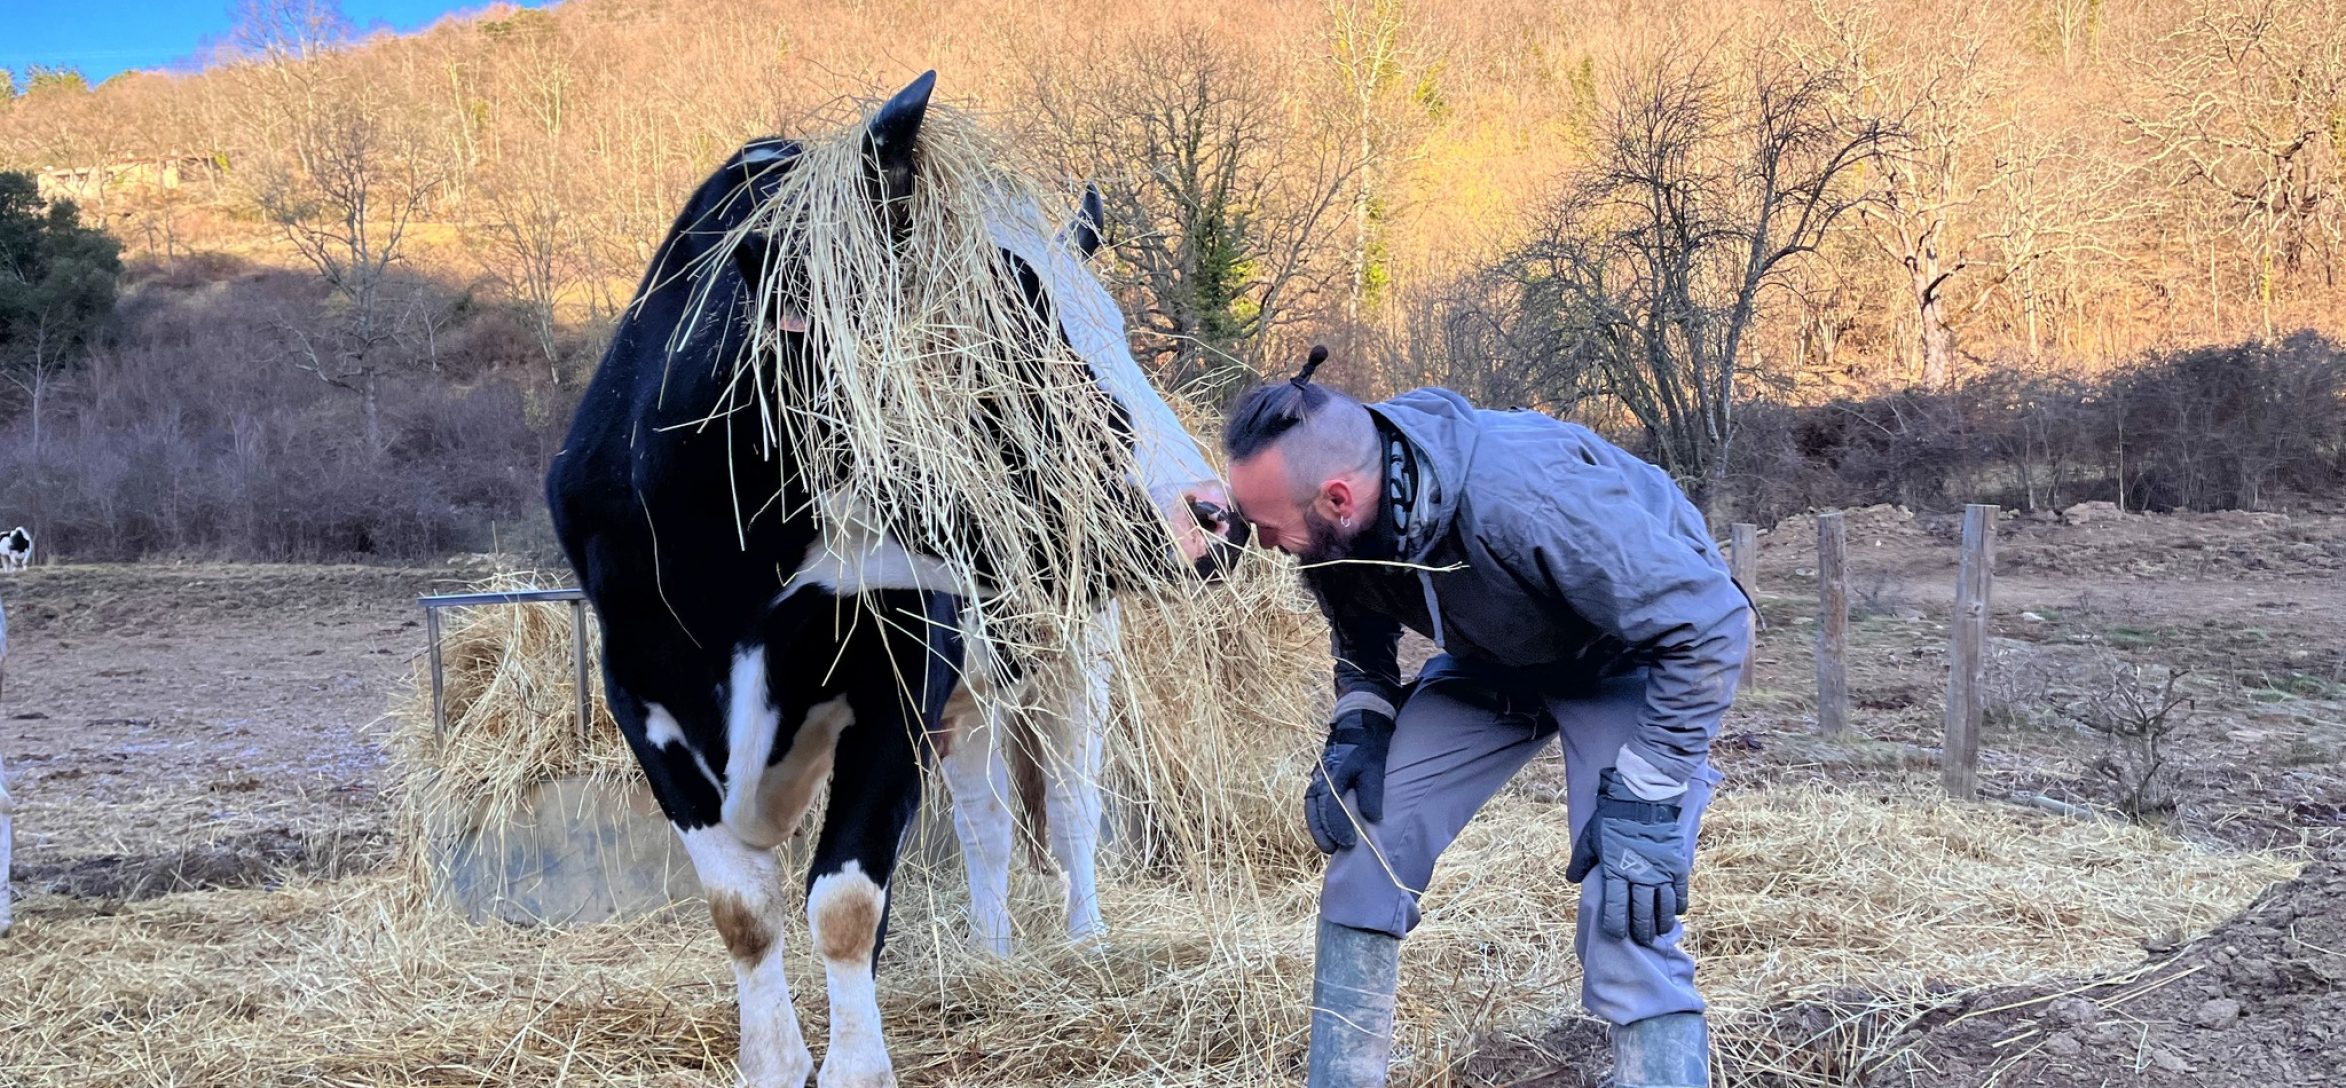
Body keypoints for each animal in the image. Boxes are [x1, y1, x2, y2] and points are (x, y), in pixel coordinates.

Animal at [544, 70, 1248, 1088]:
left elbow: (844, 900)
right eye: (997, 318)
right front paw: (773, 1061)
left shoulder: (901, 665)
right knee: (989, 822)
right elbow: (744, 911)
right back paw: (994, 952)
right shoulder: (639, 691)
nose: (1215, 515)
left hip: (1077, 648)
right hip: (977, 692)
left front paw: (857, 1066)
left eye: (1115, 320)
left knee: (1074, 806)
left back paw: (1084, 943)